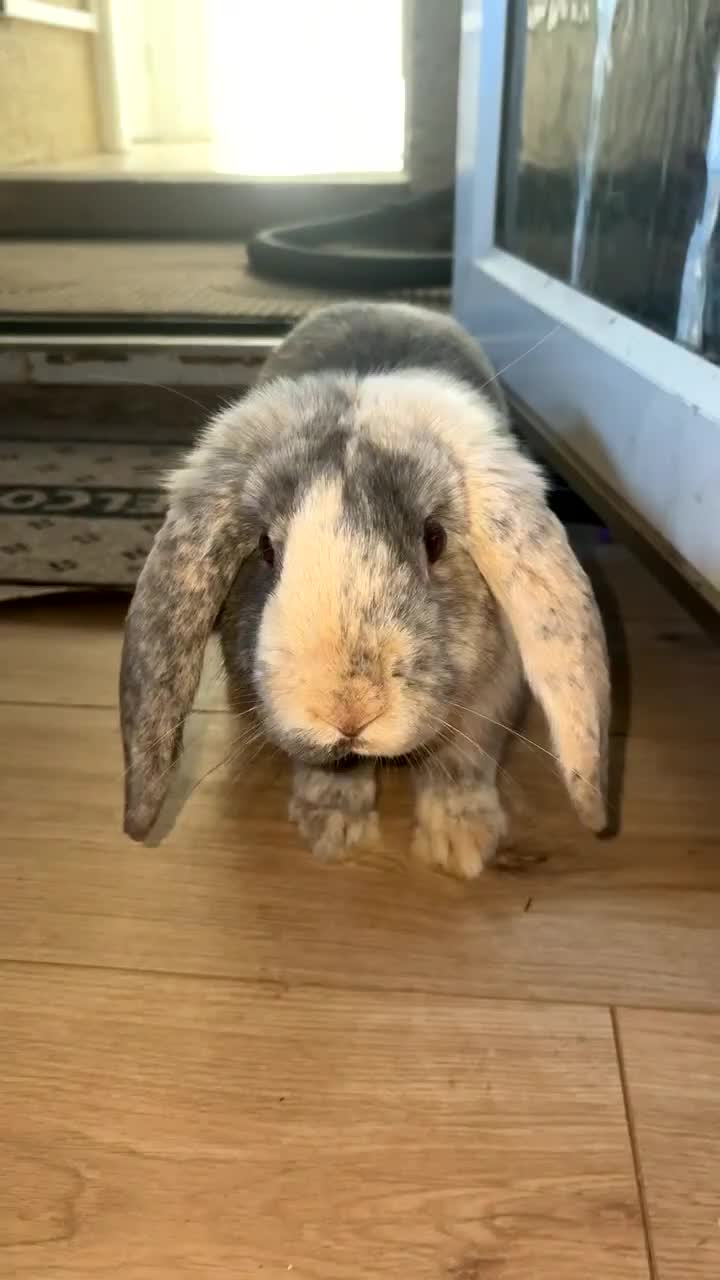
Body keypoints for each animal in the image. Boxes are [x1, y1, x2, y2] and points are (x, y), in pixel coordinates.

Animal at [120, 301, 609, 878]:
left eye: (434, 539)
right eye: (265, 548)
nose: (348, 711)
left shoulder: (488, 703)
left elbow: (460, 767)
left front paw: (460, 845)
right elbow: (328, 771)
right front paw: (332, 830)